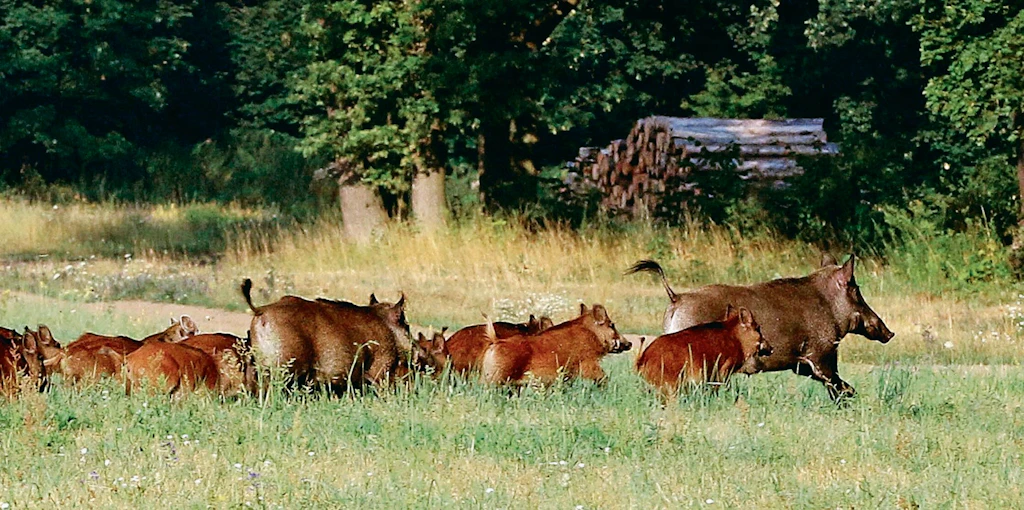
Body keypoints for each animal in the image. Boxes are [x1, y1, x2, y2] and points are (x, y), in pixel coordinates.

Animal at [635, 306, 773, 397]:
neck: (736, 338)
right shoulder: (724, 371)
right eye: (758, 328)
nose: (771, 348)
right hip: (671, 386)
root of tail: (643, 358)